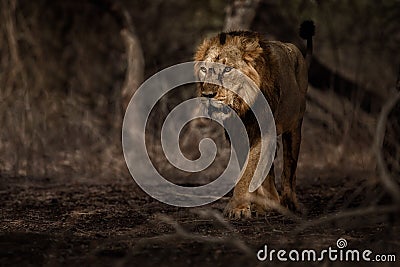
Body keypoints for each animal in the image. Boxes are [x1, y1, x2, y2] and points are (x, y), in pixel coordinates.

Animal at [195, 21, 316, 220]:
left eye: (227, 69)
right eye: (204, 69)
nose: (207, 94)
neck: (242, 106)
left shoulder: (262, 132)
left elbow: (249, 171)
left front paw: (237, 208)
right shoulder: (238, 135)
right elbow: (249, 171)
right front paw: (256, 206)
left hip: (294, 128)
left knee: (289, 169)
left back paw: (289, 204)